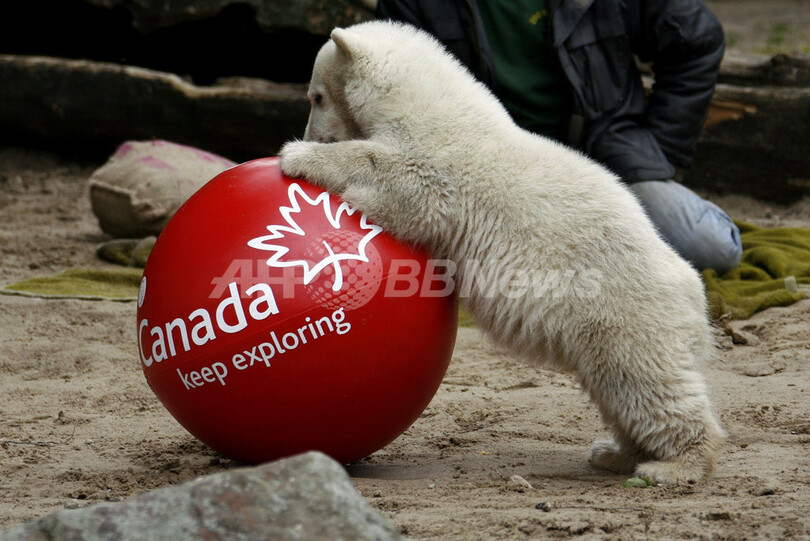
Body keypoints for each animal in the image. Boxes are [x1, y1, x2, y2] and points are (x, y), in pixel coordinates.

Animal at [279, 20, 725, 485]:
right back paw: (614, 453)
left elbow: (398, 181)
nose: (311, 134)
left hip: (625, 313)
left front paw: (299, 154)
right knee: (615, 388)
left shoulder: (441, 170)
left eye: (315, 95)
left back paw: (674, 465)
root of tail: (694, 291)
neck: (439, 108)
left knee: (645, 382)